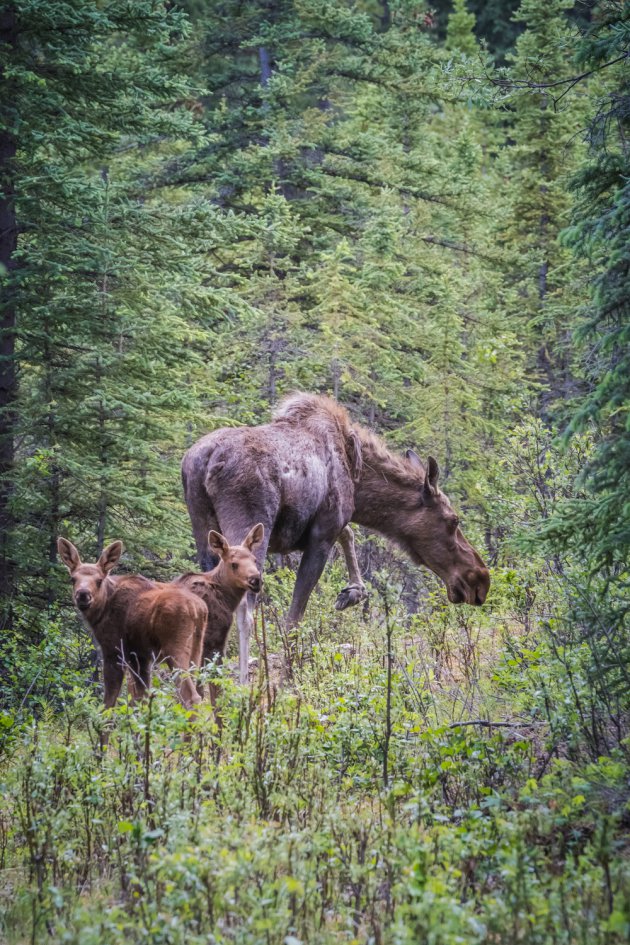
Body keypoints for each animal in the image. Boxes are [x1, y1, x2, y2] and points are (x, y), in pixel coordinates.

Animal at [58, 536, 206, 712]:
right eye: (72, 578)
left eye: (99, 580)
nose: (83, 594)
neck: (101, 611)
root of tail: (198, 609)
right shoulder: (140, 656)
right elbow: (142, 698)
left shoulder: (113, 650)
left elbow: (109, 703)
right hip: (196, 651)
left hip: (175, 649)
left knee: (191, 696)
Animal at [180, 390, 492, 680]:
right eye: (453, 520)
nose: (479, 579)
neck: (356, 475)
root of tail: (204, 463)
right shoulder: (322, 534)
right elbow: (294, 620)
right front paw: (288, 680)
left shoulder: (331, 525)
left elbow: (349, 534)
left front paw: (353, 591)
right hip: (251, 528)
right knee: (245, 608)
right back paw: (243, 684)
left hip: (204, 531)